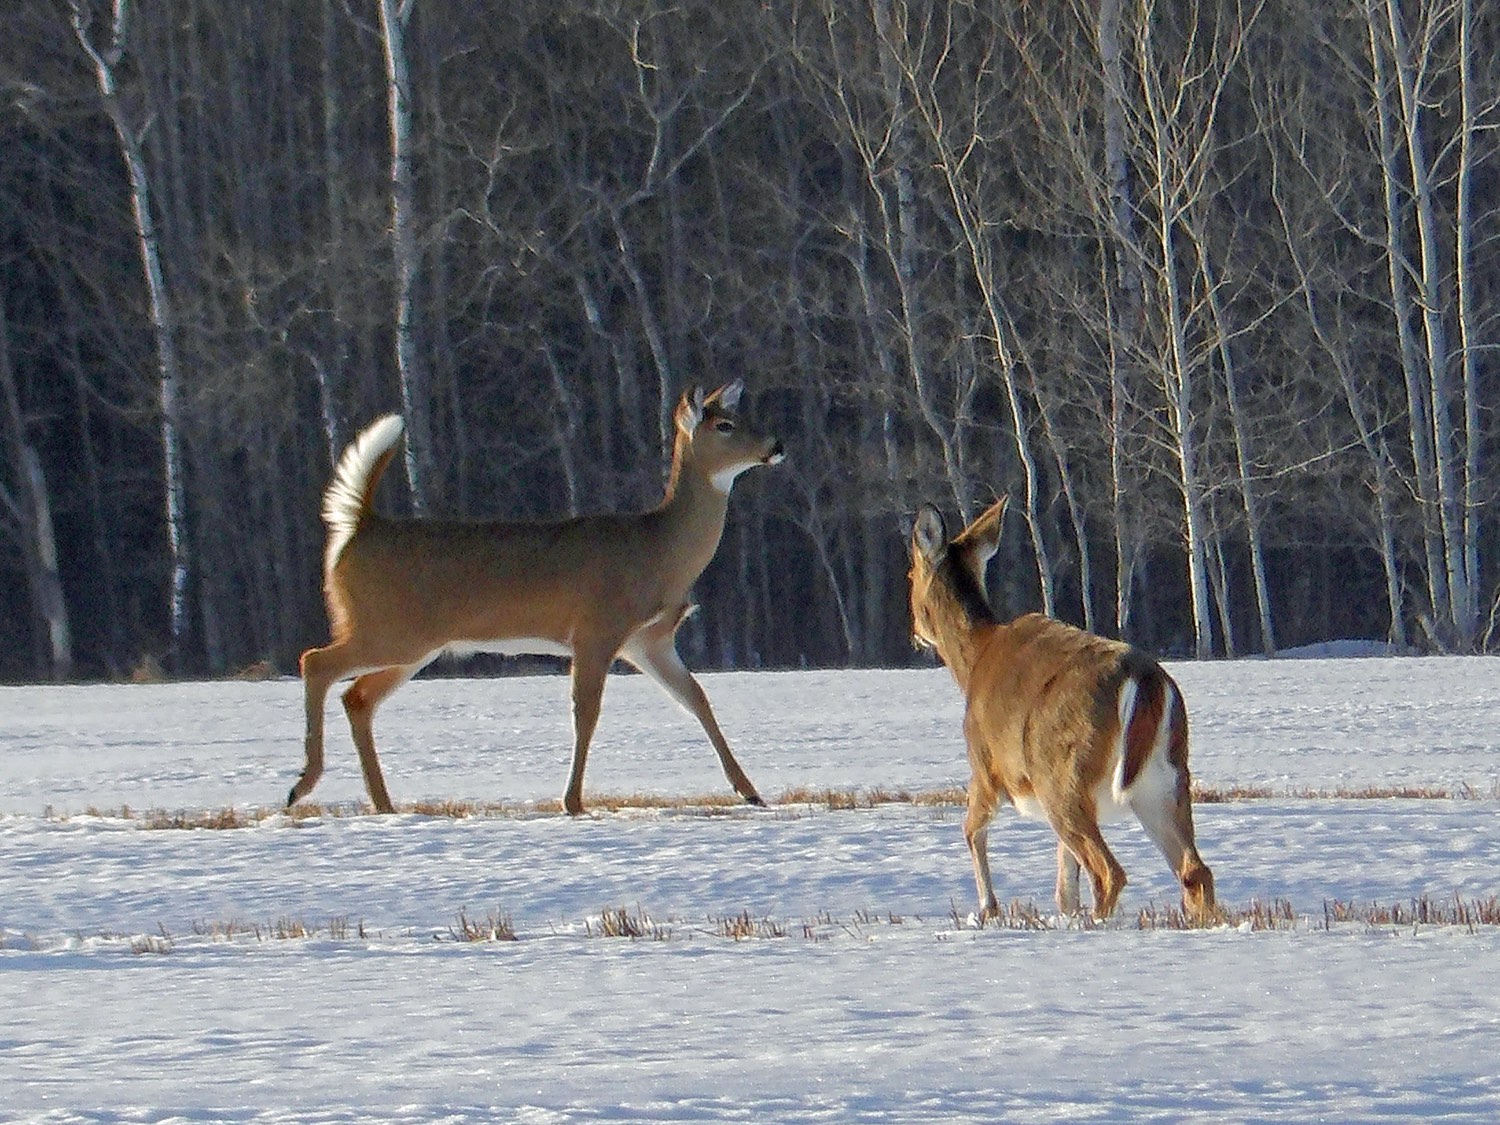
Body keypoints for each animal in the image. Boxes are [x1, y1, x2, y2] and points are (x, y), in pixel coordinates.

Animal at [290, 380, 784, 816]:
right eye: (725, 425)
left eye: (745, 417)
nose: (777, 443)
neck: (659, 550)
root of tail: (359, 526)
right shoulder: (597, 628)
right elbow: (587, 711)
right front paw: (572, 801)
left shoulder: (649, 641)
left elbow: (697, 698)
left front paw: (750, 792)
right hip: (391, 630)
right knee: (315, 661)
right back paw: (303, 784)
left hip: (415, 643)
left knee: (358, 698)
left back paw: (383, 804)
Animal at [908, 497, 1217, 923]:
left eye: (909, 574)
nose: (914, 632)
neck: (971, 662)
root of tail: (1147, 680)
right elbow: (1064, 884)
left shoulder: (986, 765)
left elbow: (970, 829)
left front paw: (988, 908)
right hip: (1165, 779)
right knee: (1194, 871)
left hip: (1060, 775)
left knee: (1108, 872)